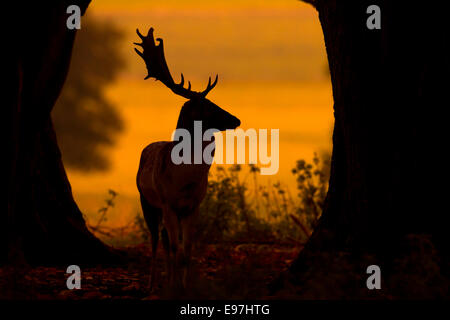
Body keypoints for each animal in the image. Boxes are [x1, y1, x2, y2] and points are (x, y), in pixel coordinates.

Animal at [133, 28, 239, 292]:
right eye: (208, 105)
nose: (236, 119)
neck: (185, 180)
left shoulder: (194, 205)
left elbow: (187, 249)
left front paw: (185, 285)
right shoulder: (168, 203)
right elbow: (175, 247)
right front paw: (174, 287)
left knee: (164, 240)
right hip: (147, 201)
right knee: (155, 240)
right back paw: (152, 284)